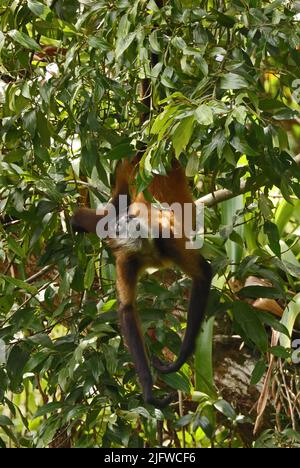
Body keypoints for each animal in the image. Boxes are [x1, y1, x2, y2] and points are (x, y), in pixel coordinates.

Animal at [71, 0, 212, 406]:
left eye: (135, 222)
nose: (128, 220)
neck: (148, 249)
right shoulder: (128, 258)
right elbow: (127, 310)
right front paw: (149, 388)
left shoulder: (163, 240)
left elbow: (203, 273)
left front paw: (178, 359)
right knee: (95, 212)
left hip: (135, 167)